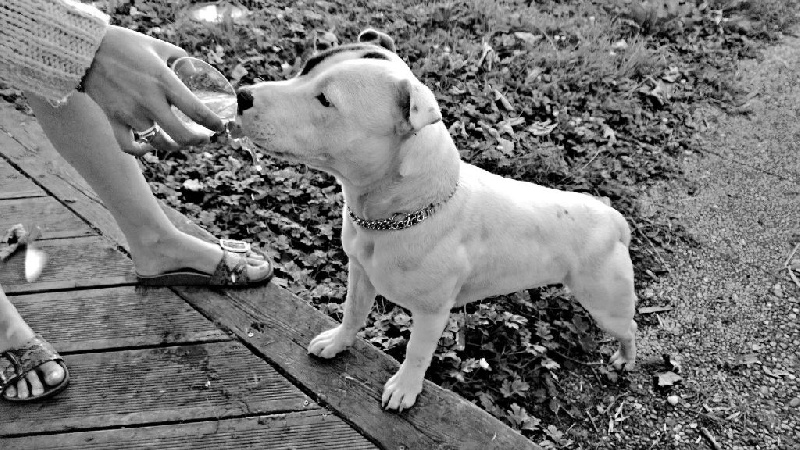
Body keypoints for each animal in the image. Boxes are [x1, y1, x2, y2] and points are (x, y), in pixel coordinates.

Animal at [238, 29, 636, 412]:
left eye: (325, 100)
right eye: (307, 67)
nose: (242, 95)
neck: (404, 212)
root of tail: (614, 219)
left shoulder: (431, 314)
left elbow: (416, 352)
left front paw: (404, 390)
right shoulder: (360, 275)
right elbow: (352, 314)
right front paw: (337, 343)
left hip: (605, 303)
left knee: (628, 328)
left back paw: (624, 360)